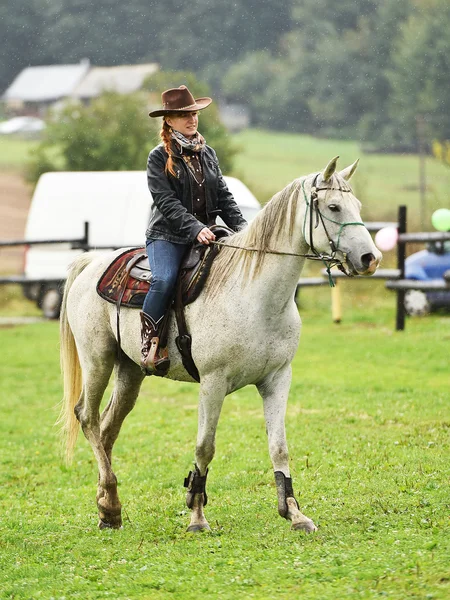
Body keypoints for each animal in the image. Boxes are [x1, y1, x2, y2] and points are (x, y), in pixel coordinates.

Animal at [59, 157, 382, 532]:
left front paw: (294, 512)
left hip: (131, 371)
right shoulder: (212, 383)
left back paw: (108, 509)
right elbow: (205, 447)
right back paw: (110, 502)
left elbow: (279, 447)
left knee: (108, 428)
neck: (254, 295)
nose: (370, 258)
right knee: (88, 418)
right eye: (333, 207)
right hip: (97, 360)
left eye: (356, 205)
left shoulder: (277, 379)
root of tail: (90, 264)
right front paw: (197, 515)